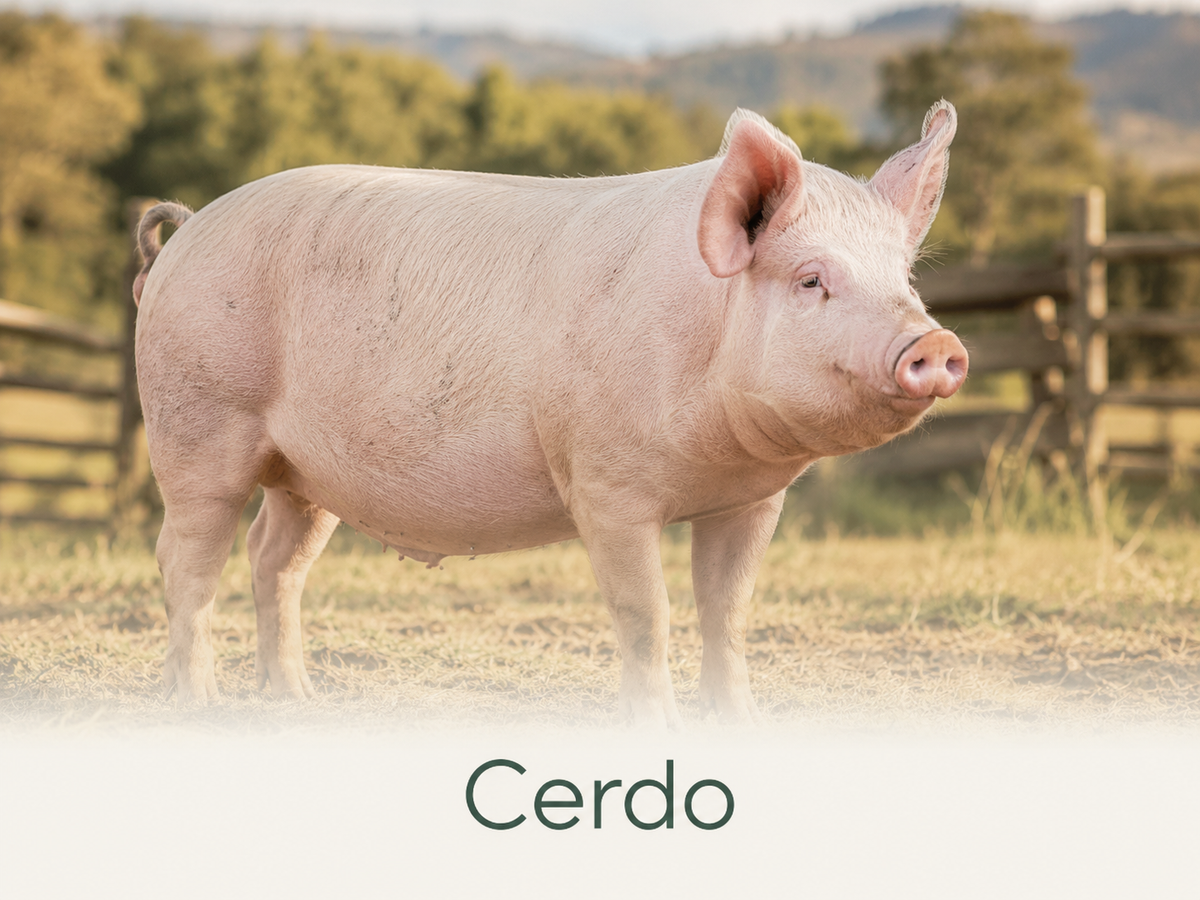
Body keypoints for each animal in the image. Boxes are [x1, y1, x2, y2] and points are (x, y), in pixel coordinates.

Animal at [134, 101, 967, 727]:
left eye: (904, 280)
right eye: (811, 280)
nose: (937, 343)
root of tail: (186, 231)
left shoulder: (753, 499)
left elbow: (727, 614)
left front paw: (742, 725)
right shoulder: (606, 484)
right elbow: (646, 613)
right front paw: (659, 730)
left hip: (305, 473)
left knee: (274, 557)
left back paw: (297, 698)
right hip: (196, 425)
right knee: (185, 560)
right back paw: (196, 702)